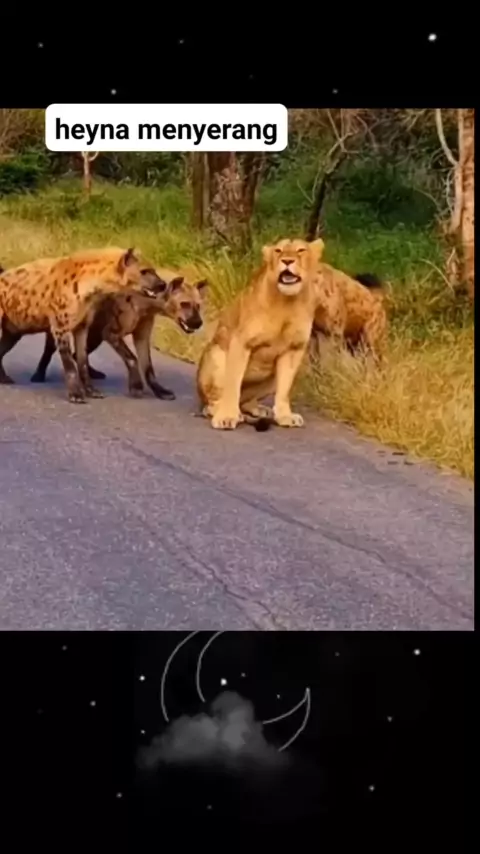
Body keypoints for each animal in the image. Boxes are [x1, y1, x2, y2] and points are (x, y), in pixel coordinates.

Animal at [0, 247, 165, 403]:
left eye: (154, 271)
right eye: (144, 271)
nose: (163, 284)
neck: (91, 286)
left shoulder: (82, 326)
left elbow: (82, 360)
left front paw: (91, 391)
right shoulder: (60, 327)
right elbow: (69, 363)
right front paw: (76, 395)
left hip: (13, 332)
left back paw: (5, 378)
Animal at [31, 269, 208, 399]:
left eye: (198, 305)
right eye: (184, 304)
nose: (198, 323)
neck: (147, 304)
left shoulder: (142, 334)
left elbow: (148, 366)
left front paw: (161, 391)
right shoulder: (112, 333)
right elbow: (132, 358)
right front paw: (136, 387)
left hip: (94, 334)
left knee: (79, 353)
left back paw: (92, 373)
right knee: (51, 348)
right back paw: (38, 375)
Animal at [196, 237, 325, 431]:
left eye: (301, 250)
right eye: (278, 251)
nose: (287, 261)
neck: (288, 302)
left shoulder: (294, 349)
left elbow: (284, 390)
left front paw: (285, 416)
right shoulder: (241, 342)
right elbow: (233, 383)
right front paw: (227, 417)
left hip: (270, 380)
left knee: (246, 401)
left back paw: (260, 410)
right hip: (216, 356)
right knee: (213, 401)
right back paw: (226, 411)